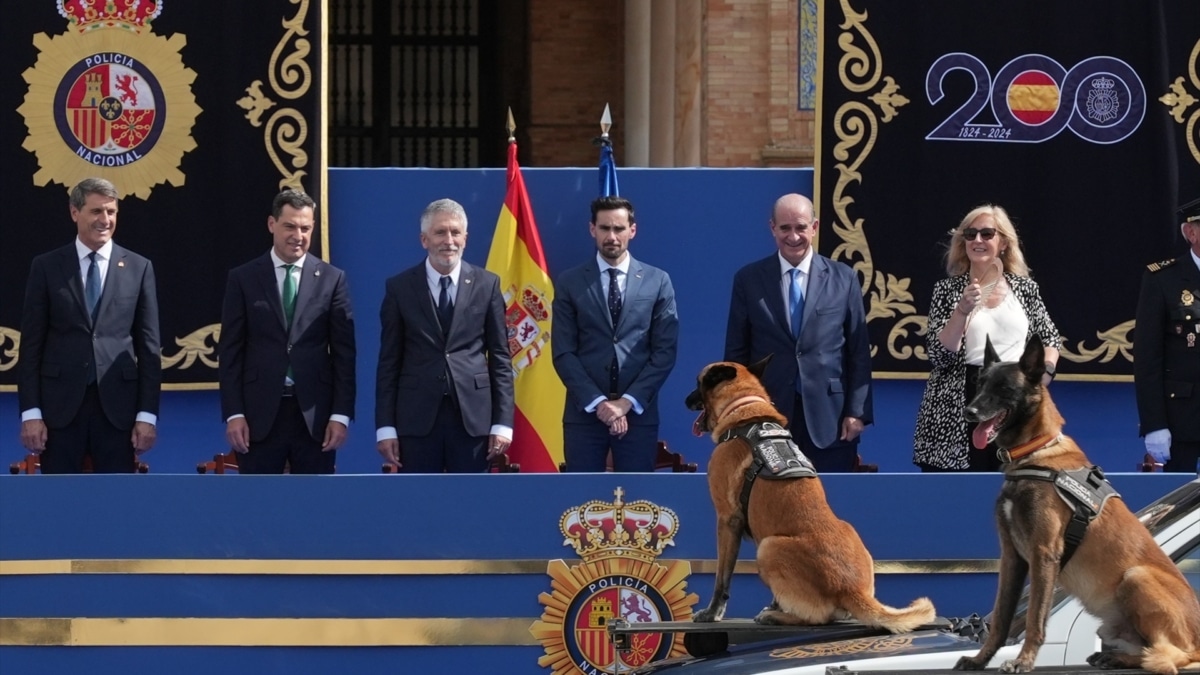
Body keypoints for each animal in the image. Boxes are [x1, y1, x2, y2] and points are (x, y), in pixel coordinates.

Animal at [686, 360, 936, 629]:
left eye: (698, 382)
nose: (686, 400)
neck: (746, 408)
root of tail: (850, 588)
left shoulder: (727, 519)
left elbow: (722, 577)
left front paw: (712, 613)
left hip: (769, 546)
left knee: (817, 618)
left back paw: (776, 616)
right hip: (844, 531)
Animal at [955, 338, 1200, 667]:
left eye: (1004, 388)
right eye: (979, 384)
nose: (969, 411)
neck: (1036, 451)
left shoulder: (1044, 553)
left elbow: (1035, 618)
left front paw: (1023, 661)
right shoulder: (1011, 556)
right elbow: (1002, 617)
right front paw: (980, 659)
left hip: (1136, 576)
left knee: (1175, 655)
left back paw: (1123, 659)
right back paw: (1114, 657)